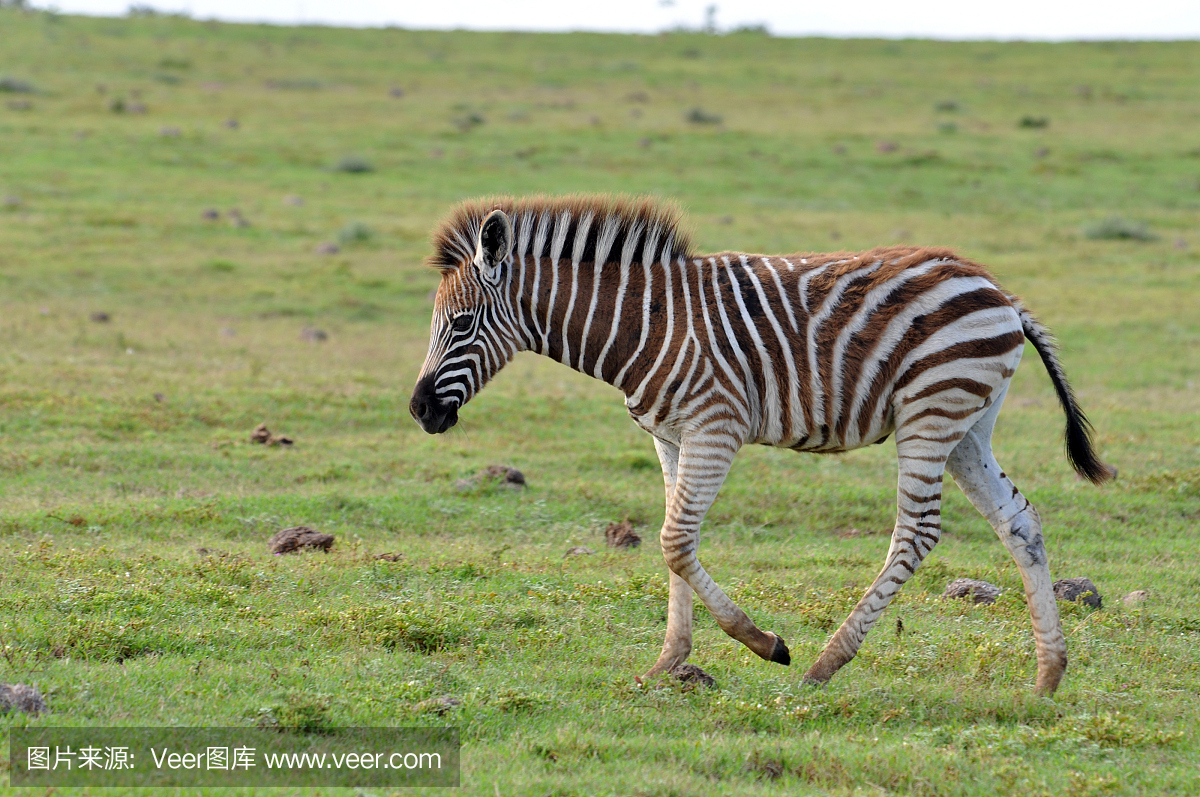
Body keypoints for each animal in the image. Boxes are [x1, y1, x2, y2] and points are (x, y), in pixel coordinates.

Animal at [412, 195, 1113, 696]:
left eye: (462, 324)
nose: (419, 410)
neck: (643, 323)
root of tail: (999, 291)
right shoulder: (670, 438)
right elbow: (672, 545)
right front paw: (669, 664)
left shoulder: (715, 429)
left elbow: (674, 541)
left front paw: (764, 643)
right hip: (968, 425)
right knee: (1019, 522)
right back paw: (1048, 675)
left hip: (931, 411)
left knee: (916, 532)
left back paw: (825, 664)